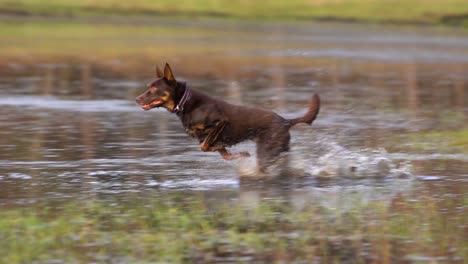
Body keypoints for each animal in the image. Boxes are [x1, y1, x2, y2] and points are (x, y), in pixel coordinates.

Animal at [135, 63, 318, 174]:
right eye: (148, 87)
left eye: (153, 89)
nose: (137, 99)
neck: (184, 103)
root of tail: (286, 121)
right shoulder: (210, 137)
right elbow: (220, 152)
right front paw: (240, 154)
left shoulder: (220, 123)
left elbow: (204, 146)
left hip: (267, 151)